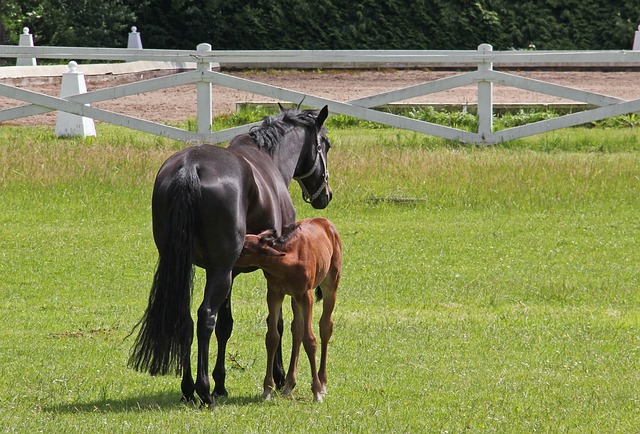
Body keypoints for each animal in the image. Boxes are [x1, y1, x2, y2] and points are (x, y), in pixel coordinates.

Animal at [236, 219, 340, 402]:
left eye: (246, 249)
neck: (288, 263)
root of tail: (326, 221)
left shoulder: (306, 295)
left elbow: (310, 339)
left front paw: (316, 391)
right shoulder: (274, 293)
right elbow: (272, 337)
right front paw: (267, 389)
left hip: (330, 284)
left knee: (325, 326)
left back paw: (322, 383)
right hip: (294, 298)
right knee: (296, 329)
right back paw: (289, 385)